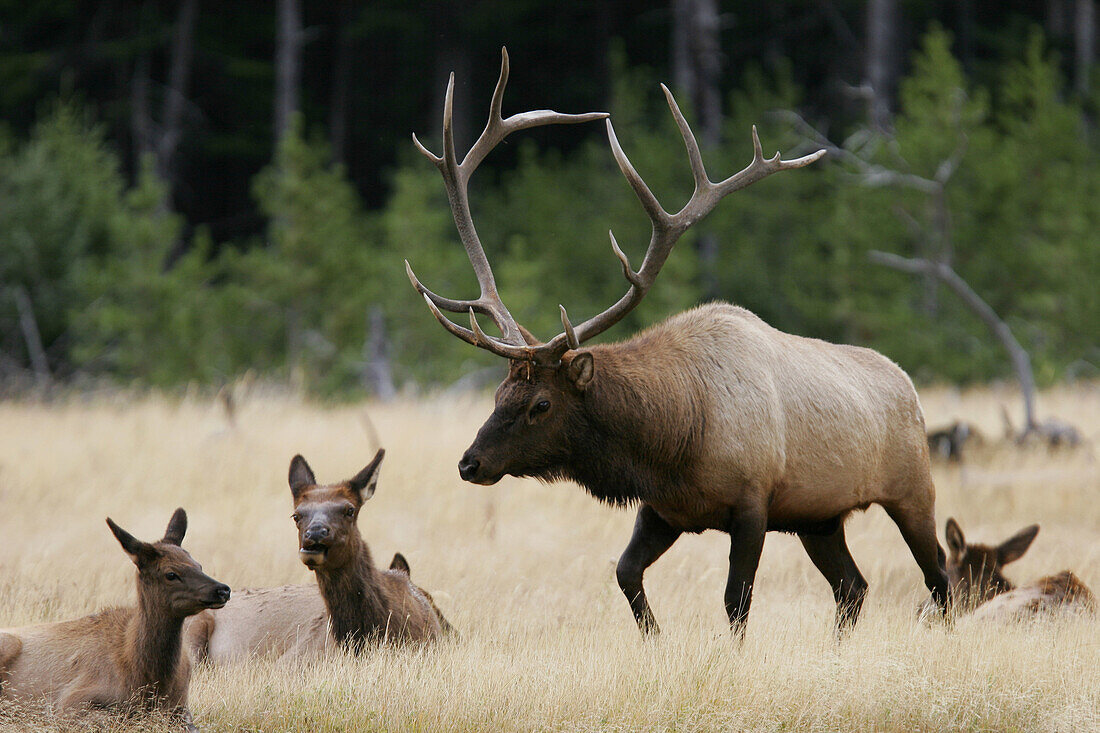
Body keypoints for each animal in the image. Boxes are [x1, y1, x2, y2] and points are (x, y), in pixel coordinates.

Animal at [1, 508, 229, 730]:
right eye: (171, 574)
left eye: (198, 565)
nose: (223, 590)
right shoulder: (69, 702)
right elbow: (110, 719)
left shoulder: (182, 707)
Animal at [409, 48, 950, 638]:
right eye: (499, 394)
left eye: (541, 404)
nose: (470, 463)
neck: (673, 439)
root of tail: (910, 388)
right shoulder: (664, 509)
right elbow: (625, 573)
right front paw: (655, 638)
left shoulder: (753, 503)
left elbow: (736, 601)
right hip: (820, 517)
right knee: (853, 587)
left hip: (913, 488)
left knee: (939, 574)